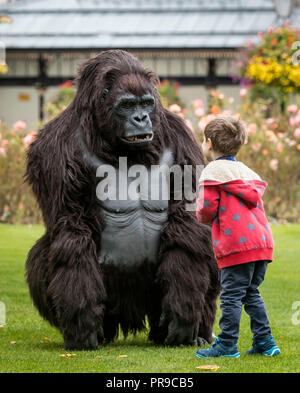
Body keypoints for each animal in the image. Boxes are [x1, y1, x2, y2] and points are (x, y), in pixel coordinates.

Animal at [26, 49, 220, 350]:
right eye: (127, 105)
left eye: (146, 103)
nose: (141, 118)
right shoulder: (54, 148)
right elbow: (72, 230)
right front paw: (82, 324)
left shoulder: (180, 134)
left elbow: (186, 222)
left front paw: (183, 311)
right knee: (44, 253)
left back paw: (198, 332)